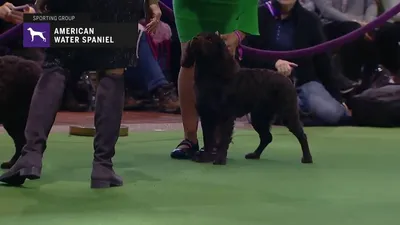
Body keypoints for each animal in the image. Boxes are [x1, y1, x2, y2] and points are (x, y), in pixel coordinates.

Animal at [181, 32, 312, 165]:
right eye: (197, 35)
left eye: (209, 39)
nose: (194, 39)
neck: (212, 77)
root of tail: (288, 79)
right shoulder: (206, 115)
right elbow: (208, 139)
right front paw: (205, 157)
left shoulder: (226, 116)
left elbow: (223, 139)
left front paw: (220, 159)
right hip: (259, 117)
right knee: (267, 137)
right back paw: (254, 154)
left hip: (287, 114)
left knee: (302, 135)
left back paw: (307, 158)